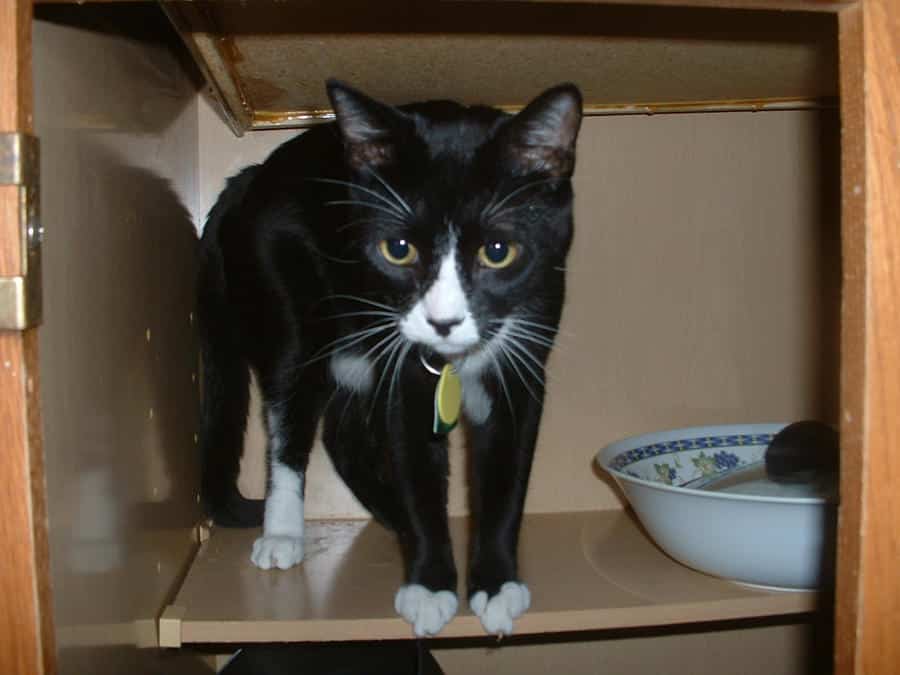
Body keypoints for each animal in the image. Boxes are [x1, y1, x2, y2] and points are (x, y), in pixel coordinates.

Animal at [199, 80, 584, 640]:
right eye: (397, 248)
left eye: (498, 251)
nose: (443, 322)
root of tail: (252, 177)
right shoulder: (405, 372)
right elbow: (413, 457)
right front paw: (429, 585)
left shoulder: (525, 353)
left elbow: (507, 475)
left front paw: (496, 585)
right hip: (288, 301)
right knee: (289, 412)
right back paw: (284, 533)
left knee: (343, 433)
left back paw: (391, 515)